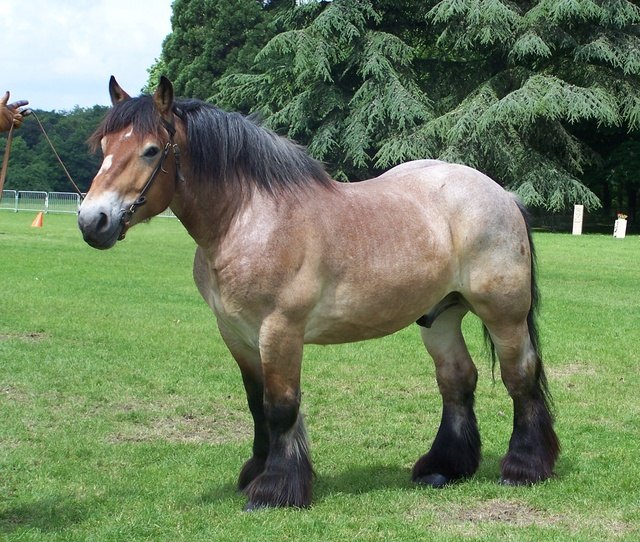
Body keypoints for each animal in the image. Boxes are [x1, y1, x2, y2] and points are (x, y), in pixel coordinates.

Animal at [78, 76, 560, 509]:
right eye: (104, 147)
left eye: (150, 150)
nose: (92, 221)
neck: (250, 219)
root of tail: (502, 193)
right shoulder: (237, 334)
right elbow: (256, 405)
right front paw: (257, 472)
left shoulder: (280, 331)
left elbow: (280, 406)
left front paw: (274, 490)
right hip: (440, 318)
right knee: (457, 380)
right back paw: (444, 467)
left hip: (503, 315)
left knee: (520, 377)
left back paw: (525, 467)